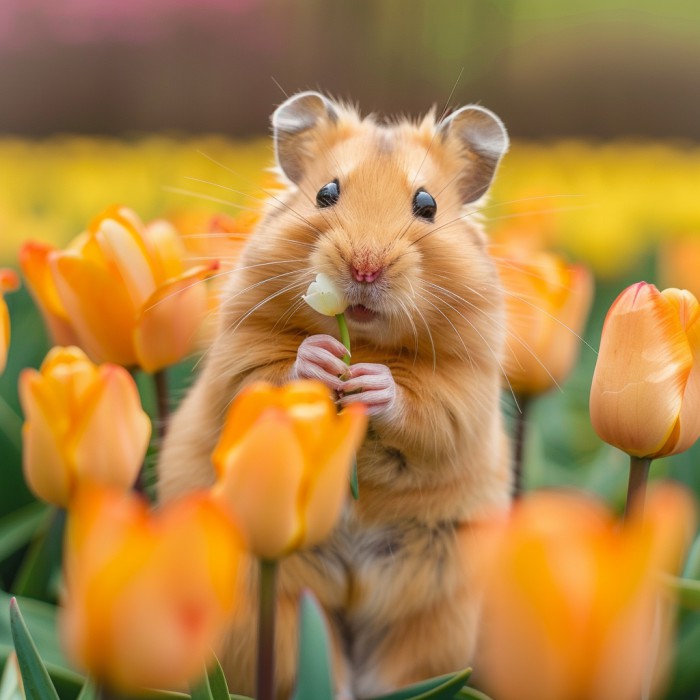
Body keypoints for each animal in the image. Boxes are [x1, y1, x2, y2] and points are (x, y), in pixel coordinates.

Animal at [158, 91, 512, 699]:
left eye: (426, 204)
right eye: (326, 192)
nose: (364, 268)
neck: (364, 336)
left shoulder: (466, 386)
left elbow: (428, 410)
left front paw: (370, 382)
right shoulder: (239, 351)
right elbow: (265, 371)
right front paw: (323, 359)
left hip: (435, 613)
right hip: (278, 610)